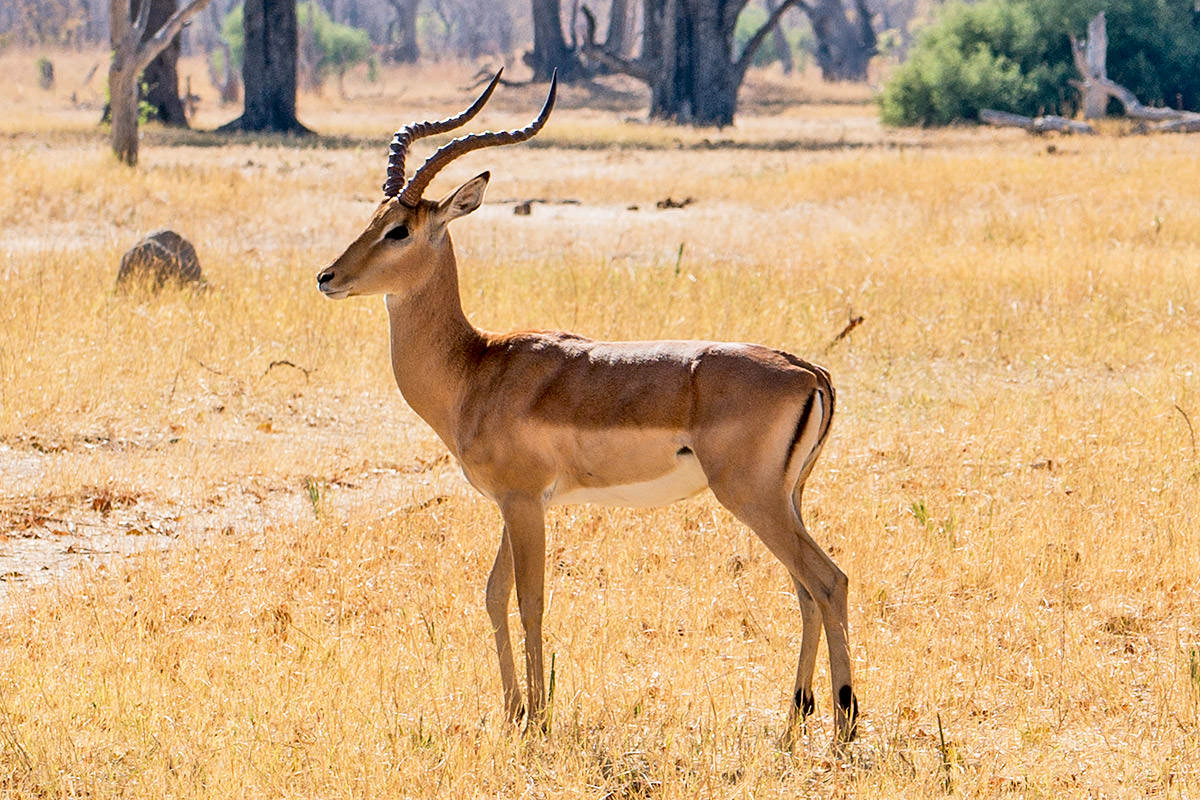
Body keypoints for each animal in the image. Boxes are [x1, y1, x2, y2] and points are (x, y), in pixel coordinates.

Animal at [314, 71, 859, 748]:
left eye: (400, 231)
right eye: (373, 217)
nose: (327, 276)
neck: (476, 369)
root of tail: (808, 371)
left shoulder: (524, 502)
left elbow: (530, 599)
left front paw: (539, 719)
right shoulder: (515, 504)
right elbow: (493, 594)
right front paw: (513, 713)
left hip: (753, 499)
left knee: (828, 580)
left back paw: (844, 723)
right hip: (787, 500)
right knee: (805, 589)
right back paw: (794, 717)